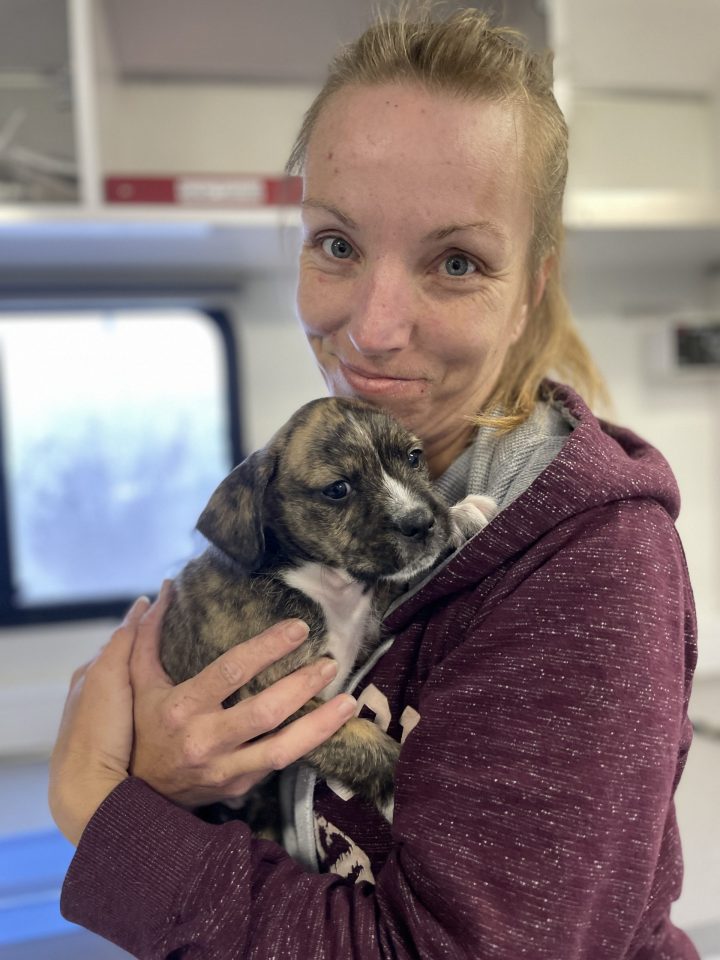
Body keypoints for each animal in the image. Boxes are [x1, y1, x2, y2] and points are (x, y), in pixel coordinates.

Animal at [158, 398, 496, 824]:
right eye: (338, 490)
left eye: (414, 457)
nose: (420, 522)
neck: (324, 585)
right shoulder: (272, 700)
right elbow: (356, 737)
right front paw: (395, 783)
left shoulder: (367, 623)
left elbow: (391, 580)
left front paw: (462, 514)